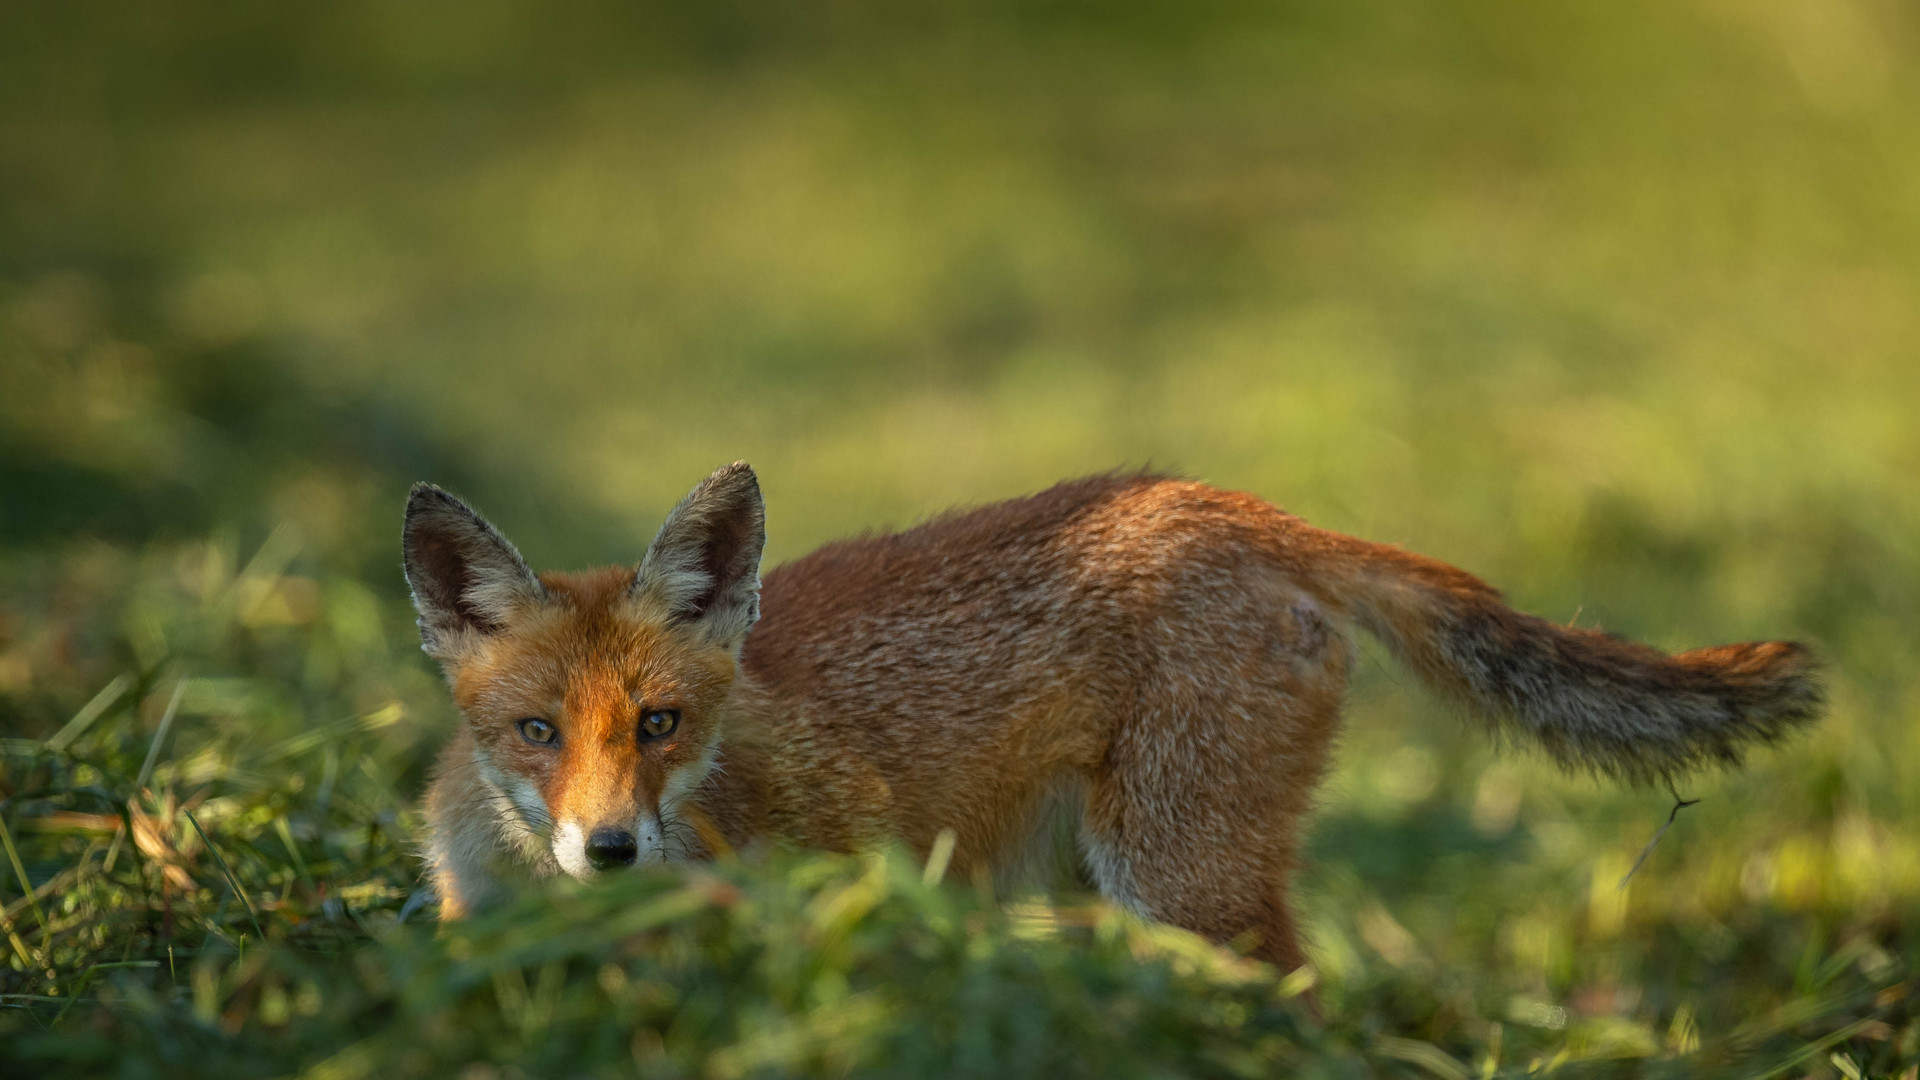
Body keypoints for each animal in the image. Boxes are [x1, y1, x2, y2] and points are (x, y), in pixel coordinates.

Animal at [401, 463, 1812, 968]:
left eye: (660, 725)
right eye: (536, 733)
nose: (610, 851)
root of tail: (1230, 502)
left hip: (1176, 877)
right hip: (1098, 878)